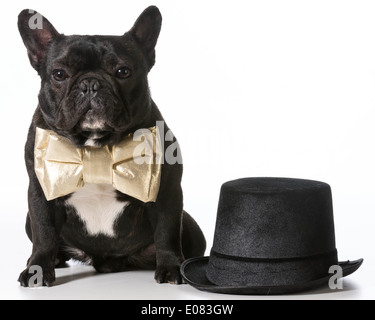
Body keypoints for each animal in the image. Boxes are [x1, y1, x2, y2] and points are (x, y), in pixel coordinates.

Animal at [17, 6, 206, 286]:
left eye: (123, 72)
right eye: (59, 74)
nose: (90, 83)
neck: (97, 145)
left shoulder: (167, 191)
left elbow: (167, 230)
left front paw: (171, 267)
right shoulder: (41, 191)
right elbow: (44, 234)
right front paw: (37, 269)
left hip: (192, 229)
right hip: (29, 220)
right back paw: (53, 260)